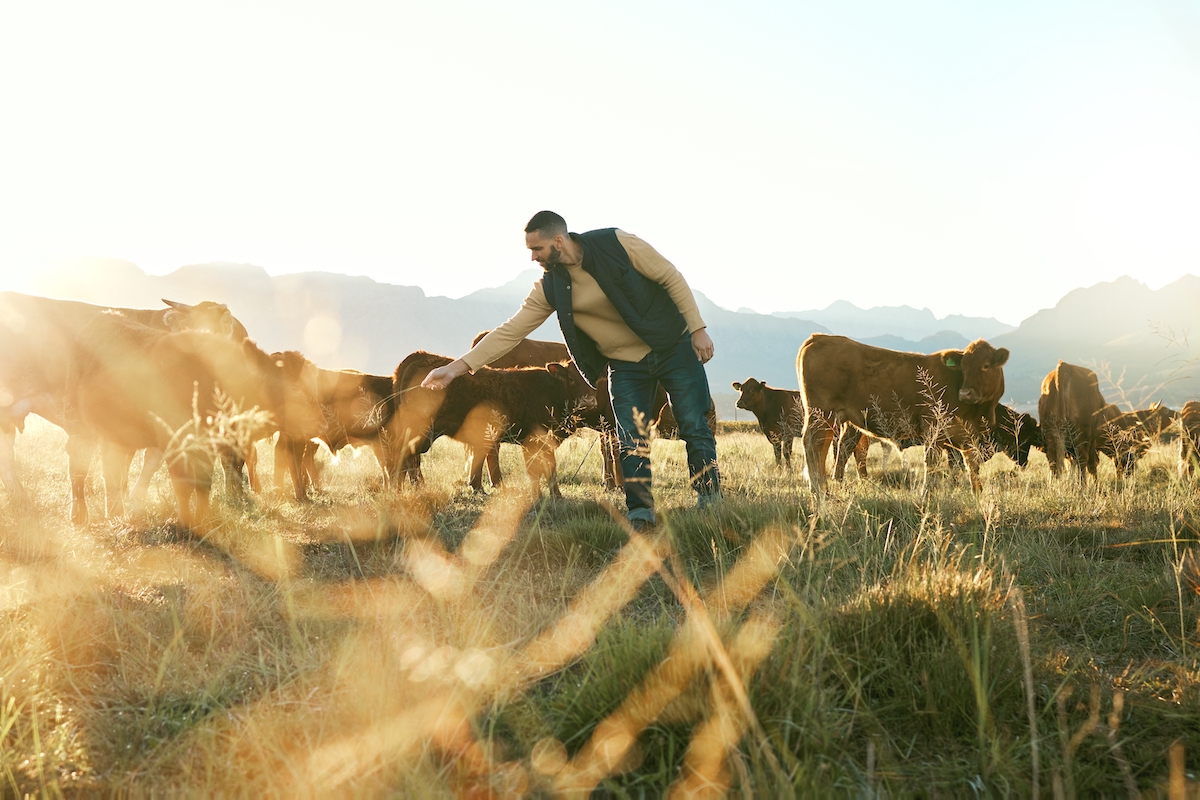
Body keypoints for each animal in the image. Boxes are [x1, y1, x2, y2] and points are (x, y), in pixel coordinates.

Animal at [65, 319, 319, 532]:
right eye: (292, 388)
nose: (317, 421)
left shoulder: (210, 448)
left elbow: (203, 484)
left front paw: (203, 521)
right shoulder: (176, 443)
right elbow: (183, 485)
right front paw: (186, 524)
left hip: (117, 437)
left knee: (113, 469)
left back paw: (118, 513)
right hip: (80, 427)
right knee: (79, 467)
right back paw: (80, 517)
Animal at [274, 371, 396, 501]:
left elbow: (385, 467)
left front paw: (387, 490)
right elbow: (388, 468)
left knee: (296, 455)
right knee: (293, 455)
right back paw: (300, 495)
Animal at [384, 350, 590, 501]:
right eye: (572, 379)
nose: (589, 401)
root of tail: (420, 356)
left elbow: (550, 467)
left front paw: (556, 496)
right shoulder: (533, 440)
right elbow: (537, 469)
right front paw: (540, 497)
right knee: (402, 458)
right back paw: (399, 491)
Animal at [801, 333, 1008, 494]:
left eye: (986, 365)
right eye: (963, 367)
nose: (965, 393)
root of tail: (818, 337)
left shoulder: (969, 438)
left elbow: (972, 466)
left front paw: (977, 494)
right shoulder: (933, 428)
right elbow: (931, 461)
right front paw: (927, 493)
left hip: (840, 419)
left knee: (835, 447)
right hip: (821, 413)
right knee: (814, 444)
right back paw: (819, 488)